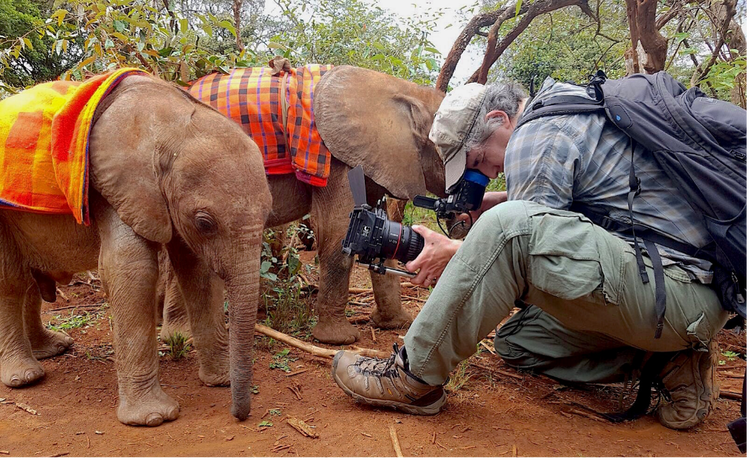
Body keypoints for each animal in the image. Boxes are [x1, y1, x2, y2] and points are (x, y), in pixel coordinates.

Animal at [0, 70, 274, 426]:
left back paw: (52, 349)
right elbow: (131, 269)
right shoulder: (114, 183)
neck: (171, 123)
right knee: (11, 280)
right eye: (204, 223)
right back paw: (25, 378)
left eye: (269, 213)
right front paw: (154, 418)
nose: (239, 415)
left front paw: (220, 380)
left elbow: (196, 270)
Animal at [162, 64, 446, 344]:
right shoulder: (336, 159)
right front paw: (339, 340)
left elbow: (383, 233)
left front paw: (397, 323)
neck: (407, 91)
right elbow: (337, 228)